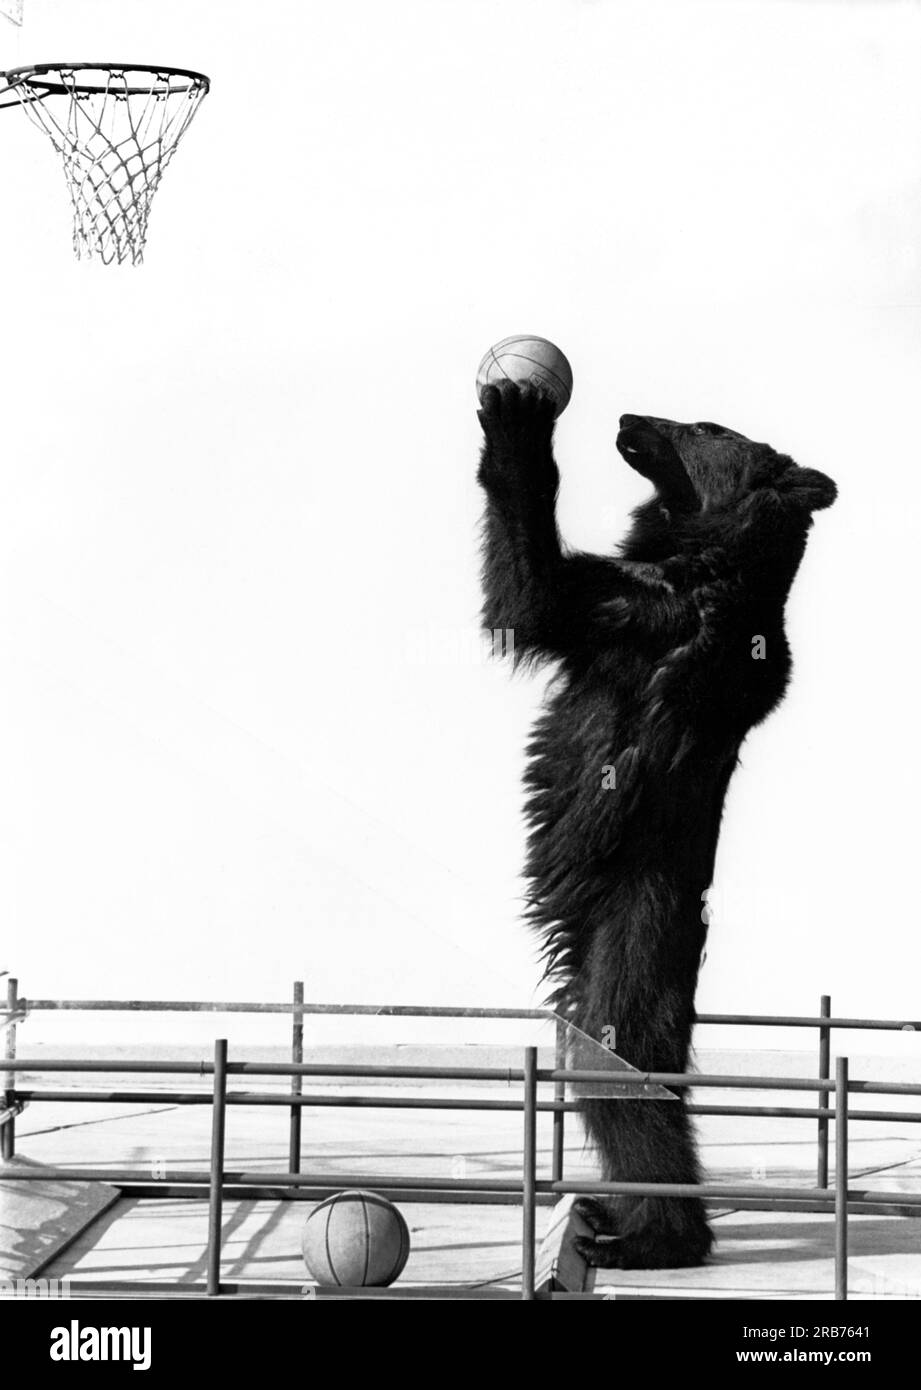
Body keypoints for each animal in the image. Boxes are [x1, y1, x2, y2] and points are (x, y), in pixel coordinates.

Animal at [476, 381, 836, 1269]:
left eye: (705, 426)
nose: (628, 417)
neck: (697, 560)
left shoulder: (644, 617)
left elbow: (530, 600)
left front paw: (515, 408)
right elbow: (543, 593)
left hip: (630, 937)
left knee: (620, 1081)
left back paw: (646, 1238)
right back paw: (613, 1218)